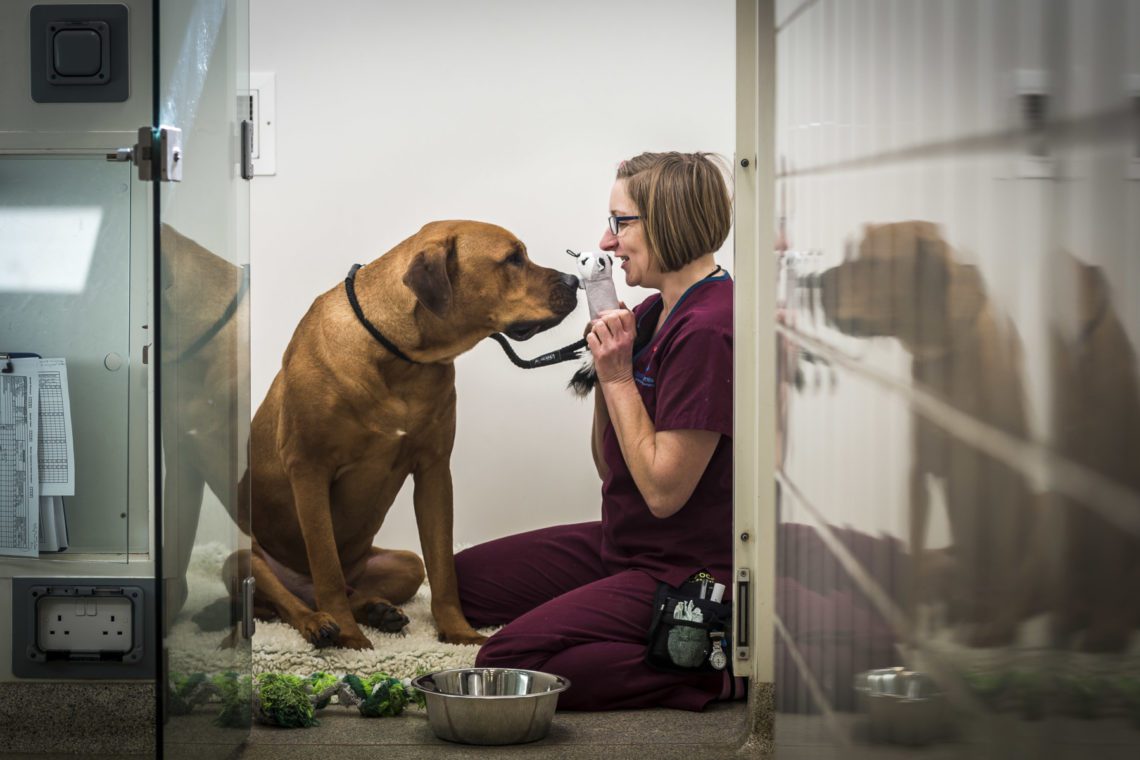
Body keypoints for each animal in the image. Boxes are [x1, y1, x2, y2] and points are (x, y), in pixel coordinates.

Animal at [241, 218, 579, 647]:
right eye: (513, 259)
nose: (574, 280)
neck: (400, 356)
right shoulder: (308, 469)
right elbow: (326, 567)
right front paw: (351, 641)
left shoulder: (434, 470)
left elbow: (443, 567)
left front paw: (458, 632)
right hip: (247, 555)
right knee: (289, 598)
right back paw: (318, 623)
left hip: (402, 564)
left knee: (357, 585)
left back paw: (378, 610)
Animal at [820, 223, 1044, 647]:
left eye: (873, 261)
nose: (816, 281)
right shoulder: (919, 473)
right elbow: (912, 561)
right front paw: (907, 635)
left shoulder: (1002, 478)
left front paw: (997, 630)